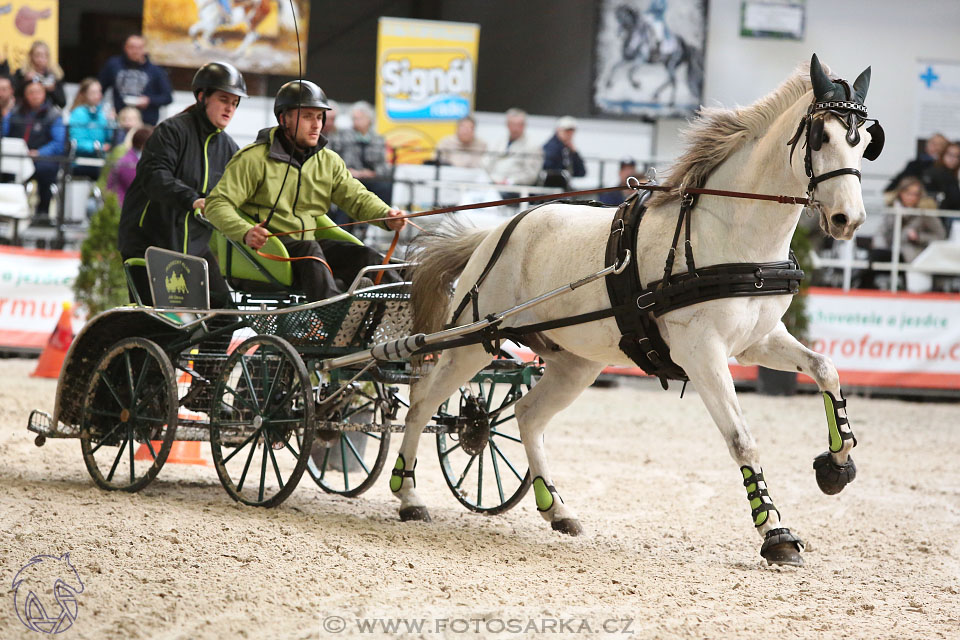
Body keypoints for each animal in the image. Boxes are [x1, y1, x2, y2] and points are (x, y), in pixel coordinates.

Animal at [394, 55, 880, 564]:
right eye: (821, 136)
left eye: (866, 142)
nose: (849, 220)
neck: (727, 234)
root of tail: (496, 230)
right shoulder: (701, 353)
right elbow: (742, 439)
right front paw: (776, 533)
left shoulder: (757, 342)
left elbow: (825, 369)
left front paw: (835, 465)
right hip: (470, 344)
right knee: (422, 404)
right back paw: (408, 496)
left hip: (576, 362)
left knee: (527, 415)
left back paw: (558, 510)